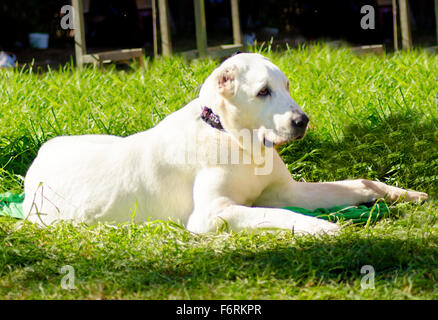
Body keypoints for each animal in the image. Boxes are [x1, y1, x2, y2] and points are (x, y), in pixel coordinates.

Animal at [23, 52, 428, 232]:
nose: (302, 122)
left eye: (286, 87)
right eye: (263, 92)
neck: (239, 143)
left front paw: (403, 193)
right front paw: (321, 226)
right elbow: (280, 213)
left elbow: (360, 183)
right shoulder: (210, 215)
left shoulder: (286, 190)